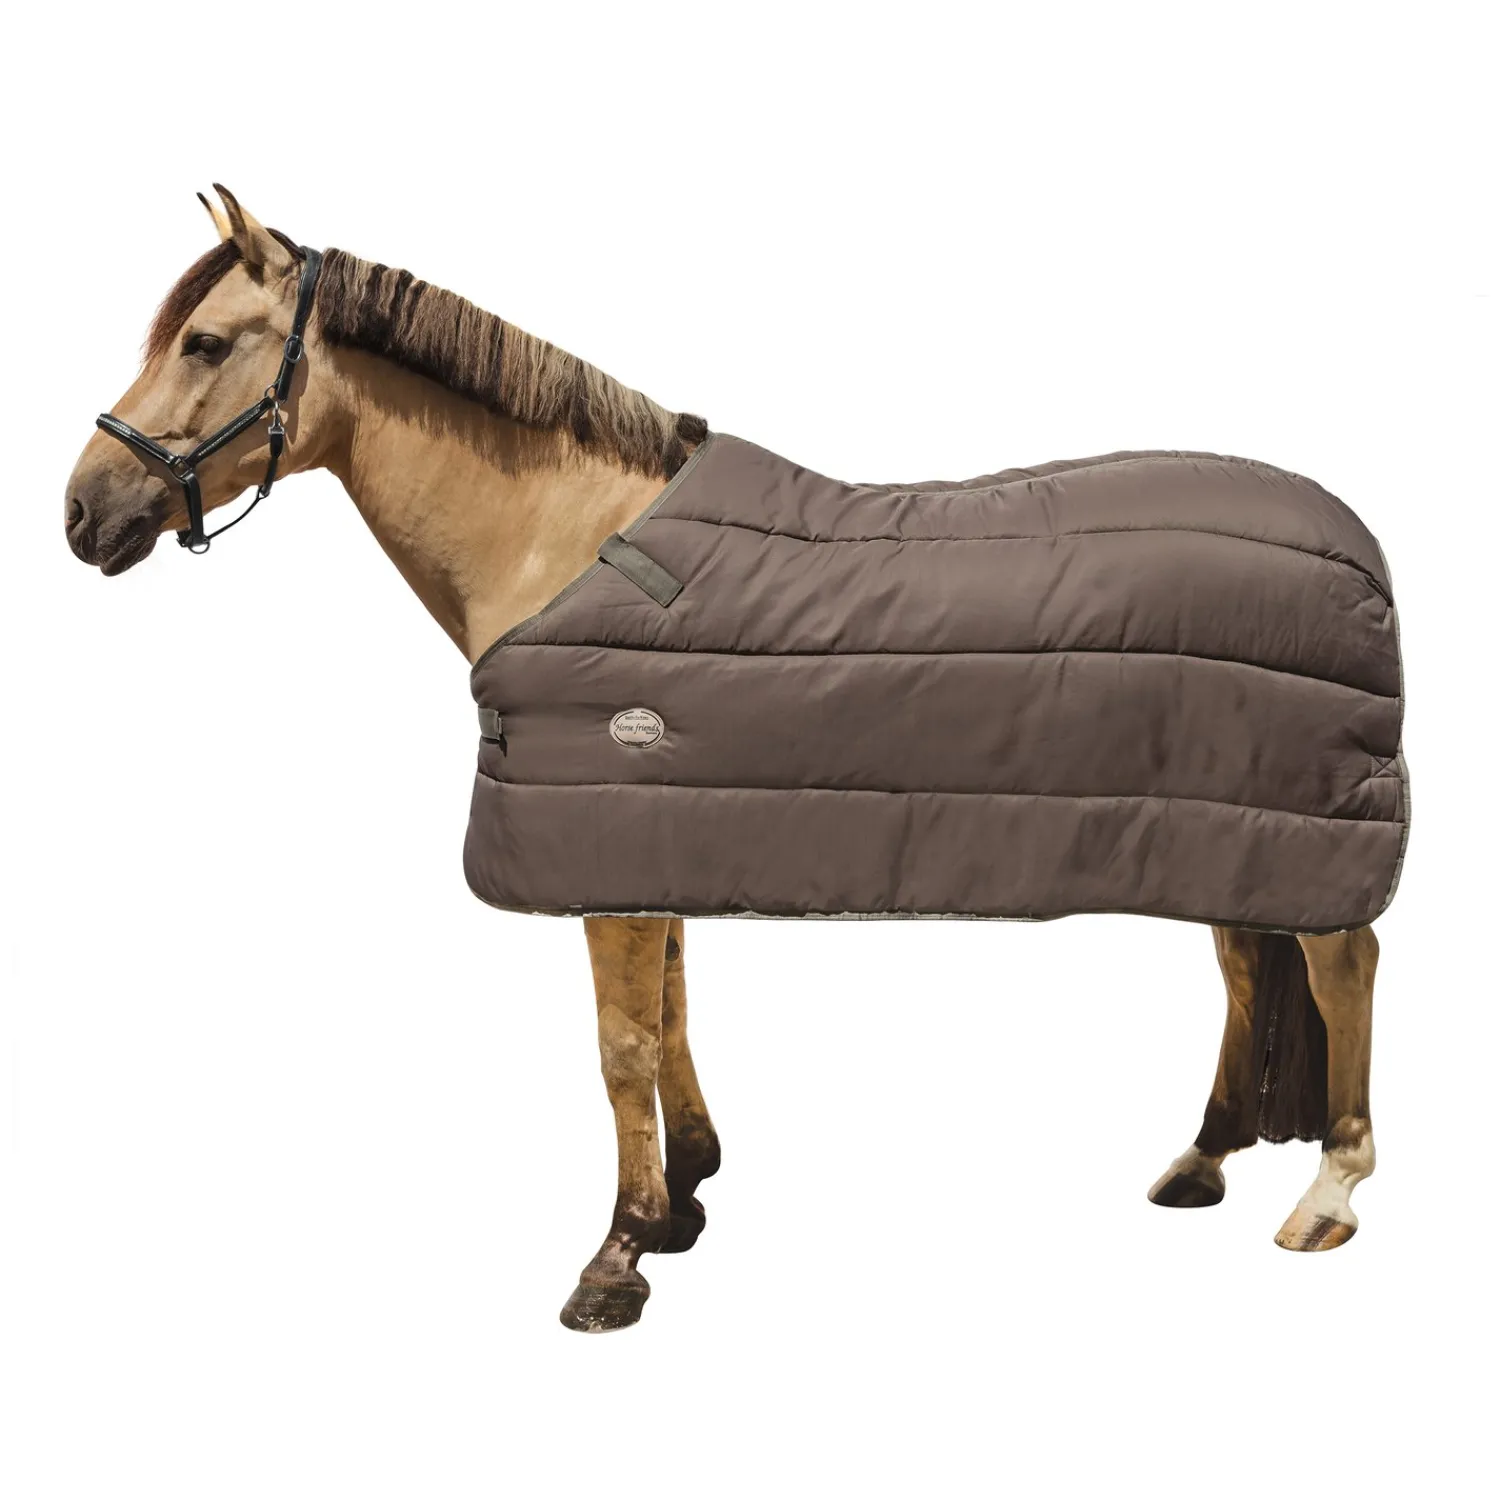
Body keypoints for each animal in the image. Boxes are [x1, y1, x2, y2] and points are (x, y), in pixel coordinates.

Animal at [65, 187, 1394, 1332]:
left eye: (204, 343)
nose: (83, 511)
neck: (567, 539)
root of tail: (1356, 543)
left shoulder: (606, 844)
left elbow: (621, 1046)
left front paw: (616, 1256)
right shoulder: (657, 833)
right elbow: (672, 1008)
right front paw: (686, 1198)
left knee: (1341, 969)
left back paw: (1328, 1194)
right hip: (1229, 828)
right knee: (1246, 967)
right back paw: (1205, 1156)